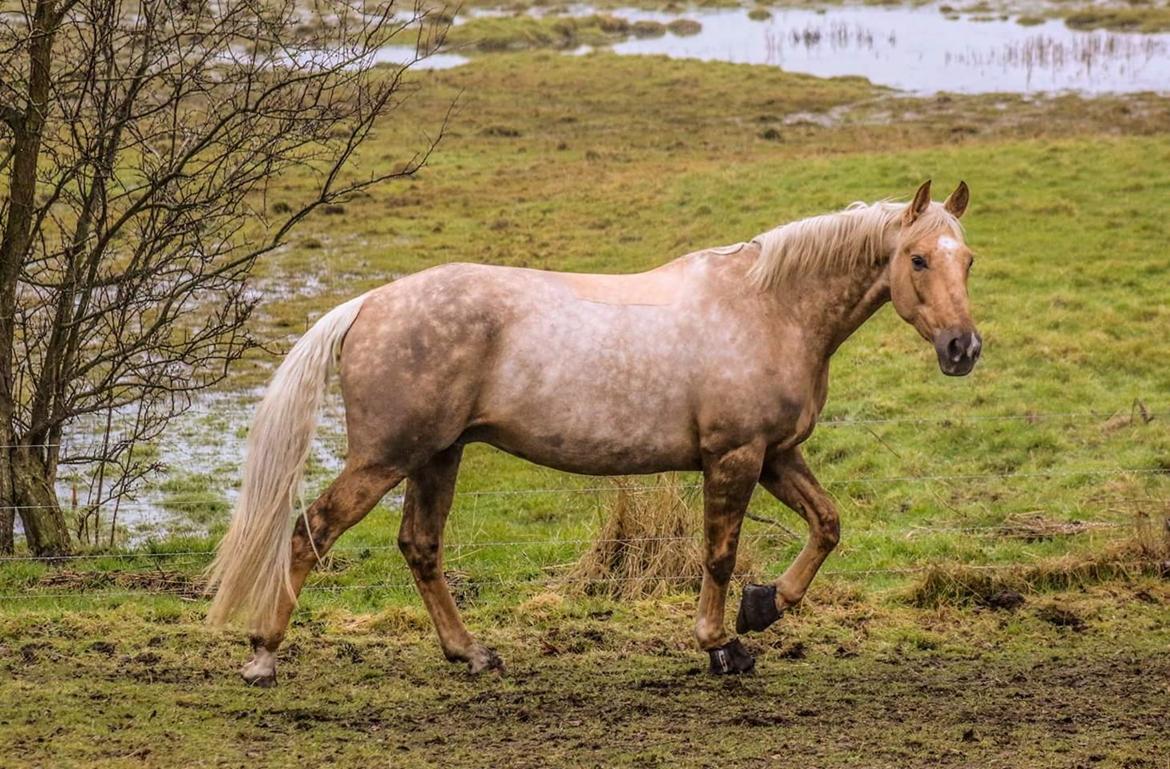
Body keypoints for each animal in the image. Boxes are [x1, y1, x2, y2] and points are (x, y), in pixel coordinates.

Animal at [208, 181, 978, 683]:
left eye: (966, 260)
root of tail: (368, 303)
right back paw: (263, 654)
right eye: (917, 259)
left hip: (437, 456)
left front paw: (764, 608)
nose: (963, 349)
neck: (768, 307)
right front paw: (721, 645)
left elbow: (827, 524)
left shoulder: (775, 455)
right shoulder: (735, 456)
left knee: (420, 547)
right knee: (312, 529)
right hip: (386, 458)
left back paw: (471, 653)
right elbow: (720, 555)